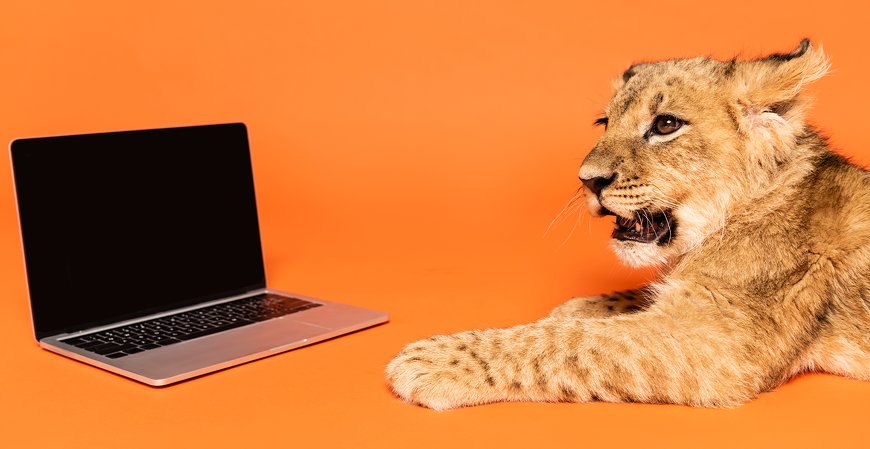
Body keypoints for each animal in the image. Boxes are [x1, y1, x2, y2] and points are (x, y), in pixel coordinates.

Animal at [385, 39, 870, 410]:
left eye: (666, 124)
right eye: (605, 122)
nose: (588, 180)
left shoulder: (716, 342)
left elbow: (569, 342)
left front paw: (433, 359)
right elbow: (623, 305)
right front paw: (585, 305)